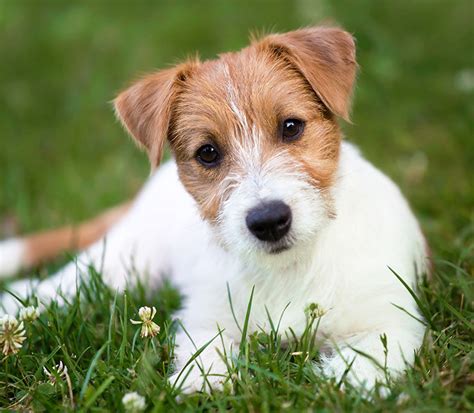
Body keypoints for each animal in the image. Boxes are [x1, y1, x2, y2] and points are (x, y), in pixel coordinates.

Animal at [0, 27, 430, 394]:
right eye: (208, 153)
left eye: (291, 126)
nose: (268, 221)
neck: (287, 268)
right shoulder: (207, 316)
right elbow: (204, 352)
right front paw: (201, 383)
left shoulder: (389, 320)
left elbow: (365, 364)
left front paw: (339, 382)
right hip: (123, 262)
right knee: (59, 284)